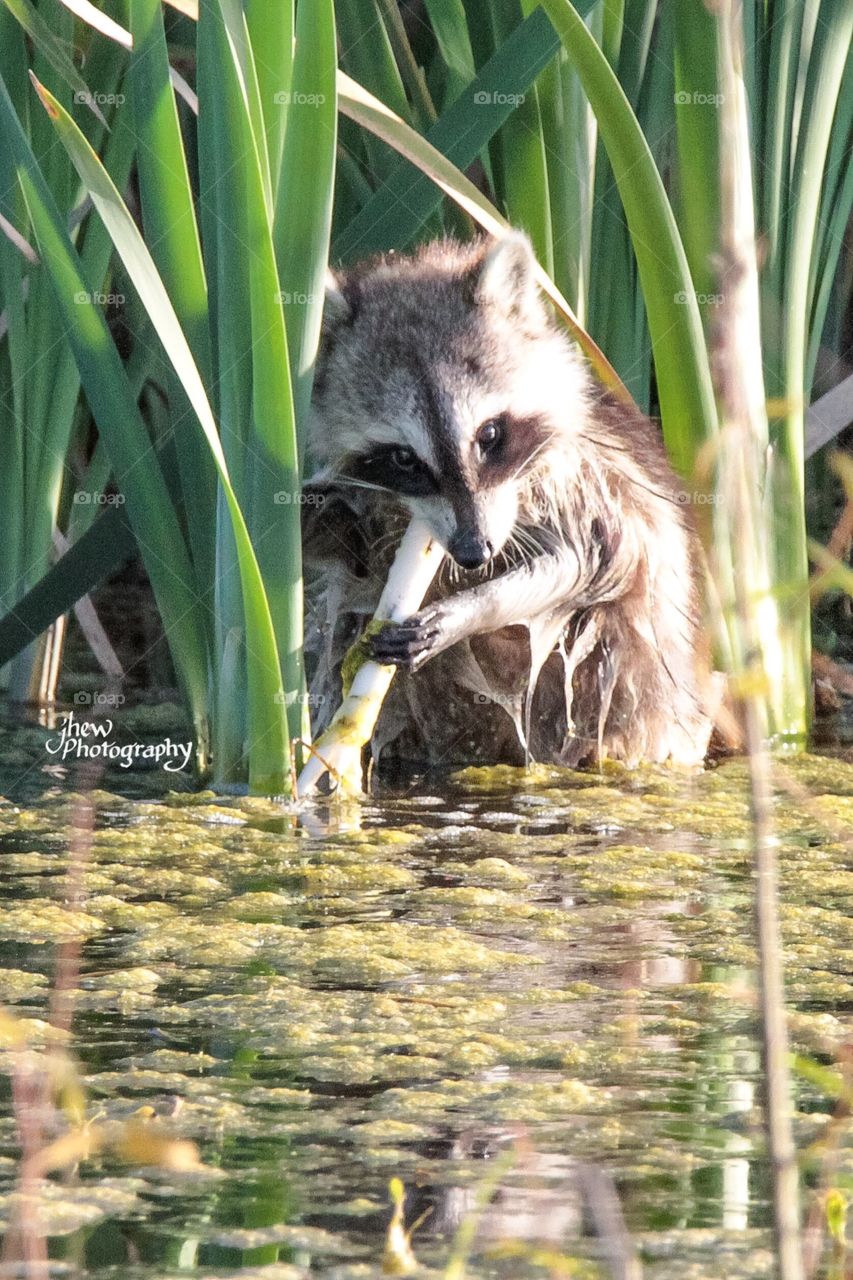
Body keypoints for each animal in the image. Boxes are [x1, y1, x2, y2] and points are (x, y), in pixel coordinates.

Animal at [303, 232, 714, 770]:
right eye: (403, 458)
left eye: (490, 435)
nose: (473, 552)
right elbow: (344, 544)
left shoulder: (585, 485)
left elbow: (576, 563)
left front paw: (467, 610)